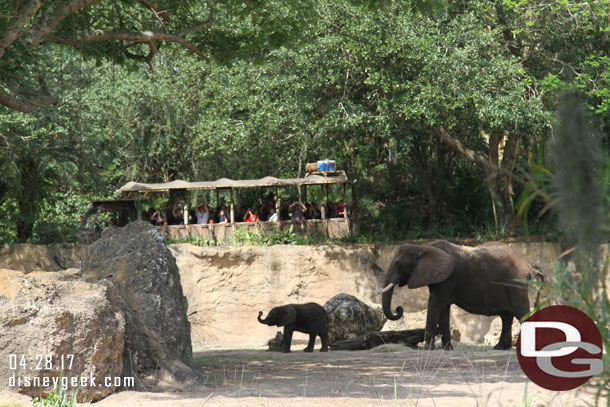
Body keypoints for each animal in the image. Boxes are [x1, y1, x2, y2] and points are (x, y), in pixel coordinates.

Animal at [376, 242, 540, 350]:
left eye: (399, 263)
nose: (399, 309)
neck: (423, 247)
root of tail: (527, 265)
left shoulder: (447, 279)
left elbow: (435, 305)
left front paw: (427, 349)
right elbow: (443, 309)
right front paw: (446, 349)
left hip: (516, 285)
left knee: (521, 313)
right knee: (506, 317)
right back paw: (499, 348)